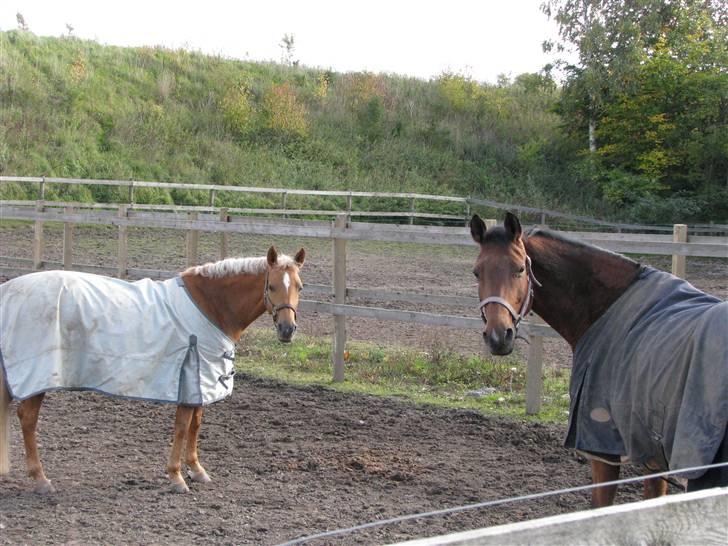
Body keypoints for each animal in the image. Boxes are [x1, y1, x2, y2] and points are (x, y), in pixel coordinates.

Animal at [0, 244, 304, 490]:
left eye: (299, 286)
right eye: (272, 286)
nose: (287, 330)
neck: (210, 306)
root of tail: (9, 291)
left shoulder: (201, 378)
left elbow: (196, 424)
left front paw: (197, 470)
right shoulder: (189, 375)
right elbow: (182, 426)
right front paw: (176, 477)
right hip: (38, 375)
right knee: (28, 419)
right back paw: (40, 479)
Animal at [472, 212, 728, 506]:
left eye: (519, 269)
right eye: (477, 272)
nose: (498, 336)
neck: (608, 307)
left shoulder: (602, 448)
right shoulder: (652, 455)